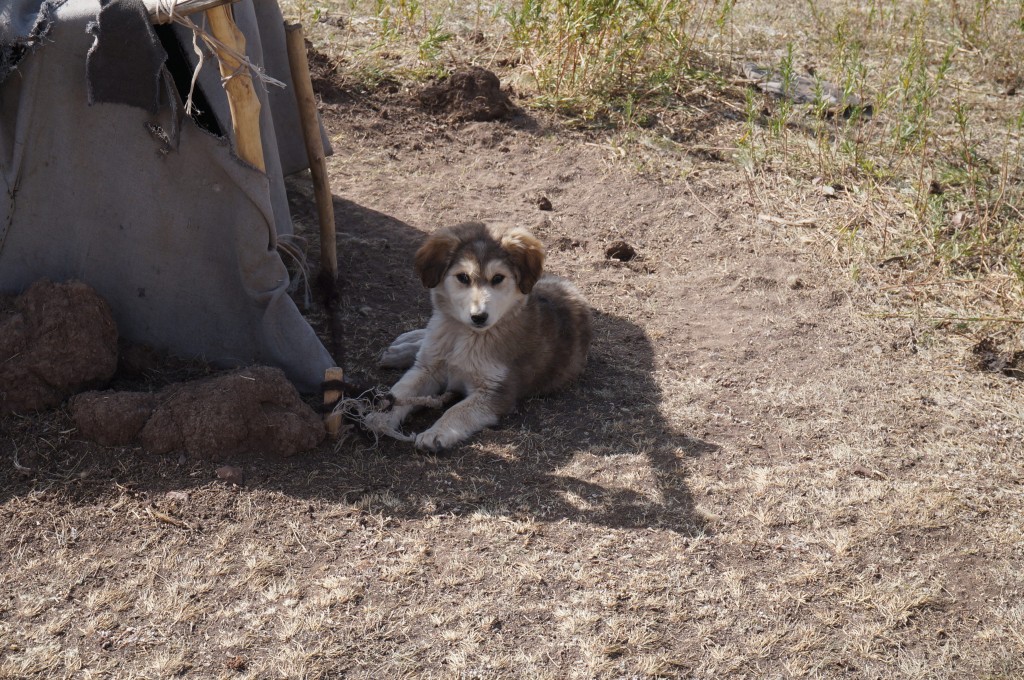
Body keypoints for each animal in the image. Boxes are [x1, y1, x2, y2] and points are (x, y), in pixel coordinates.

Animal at [382, 220, 593, 450]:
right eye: (463, 277)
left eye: (498, 278)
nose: (479, 317)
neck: (465, 336)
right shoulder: (428, 369)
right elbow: (401, 391)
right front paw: (379, 416)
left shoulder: (496, 391)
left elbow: (457, 411)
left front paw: (435, 433)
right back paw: (401, 348)